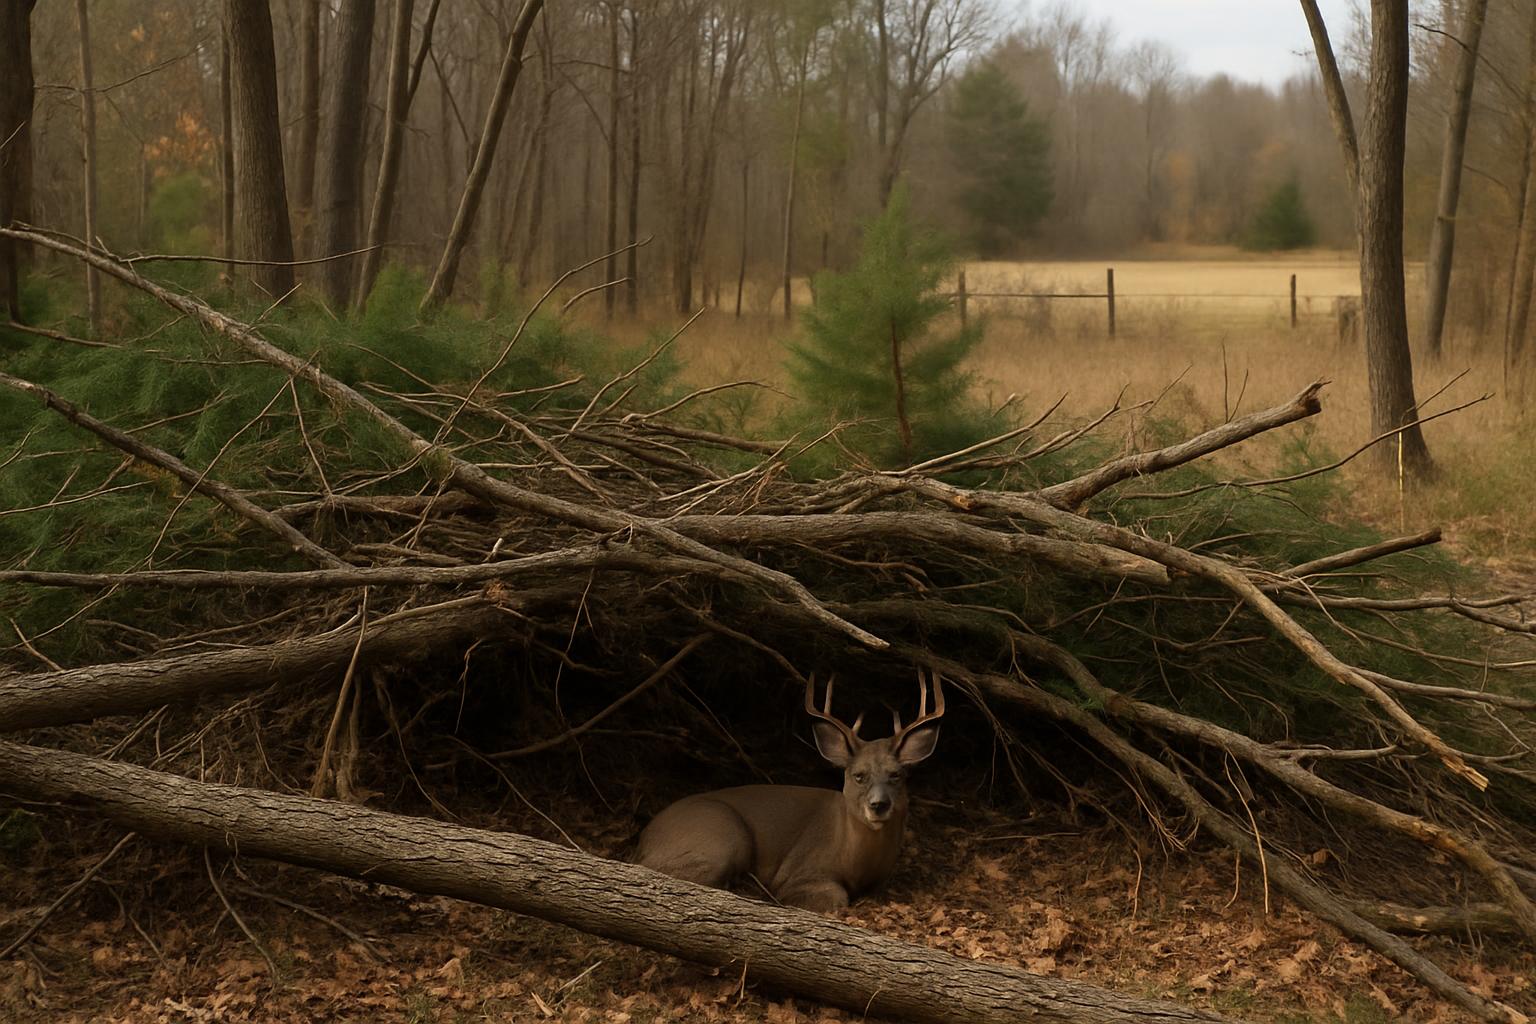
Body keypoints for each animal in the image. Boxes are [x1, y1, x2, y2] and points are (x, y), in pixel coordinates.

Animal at [633, 673, 944, 913]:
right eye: (859, 775)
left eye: (896, 775)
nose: (879, 805)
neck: (856, 862)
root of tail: (643, 841)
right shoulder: (802, 869)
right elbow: (834, 897)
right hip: (722, 837)